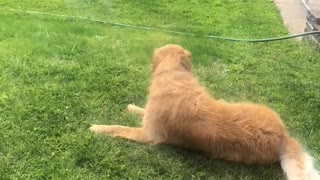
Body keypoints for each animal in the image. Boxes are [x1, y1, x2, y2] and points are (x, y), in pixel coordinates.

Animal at [89, 44, 318, 180]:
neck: (174, 73)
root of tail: (283, 136)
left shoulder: (148, 135)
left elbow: (117, 127)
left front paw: (97, 127)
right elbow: (141, 110)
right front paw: (131, 107)